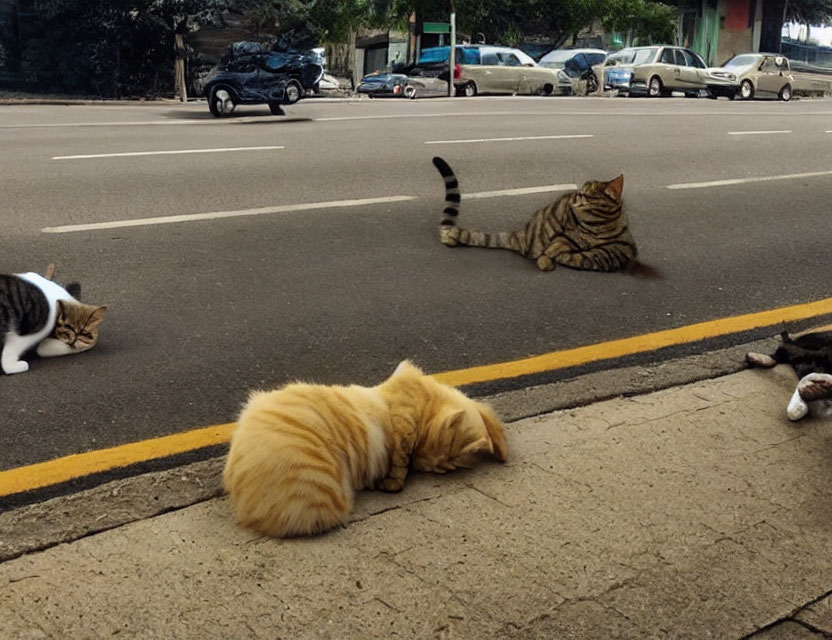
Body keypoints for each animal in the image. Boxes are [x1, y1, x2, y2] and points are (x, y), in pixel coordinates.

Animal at [223, 362, 508, 536]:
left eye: (442, 470)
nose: (425, 467)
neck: (426, 399)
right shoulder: (403, 422)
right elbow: (400, 457)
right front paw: (392, 482)